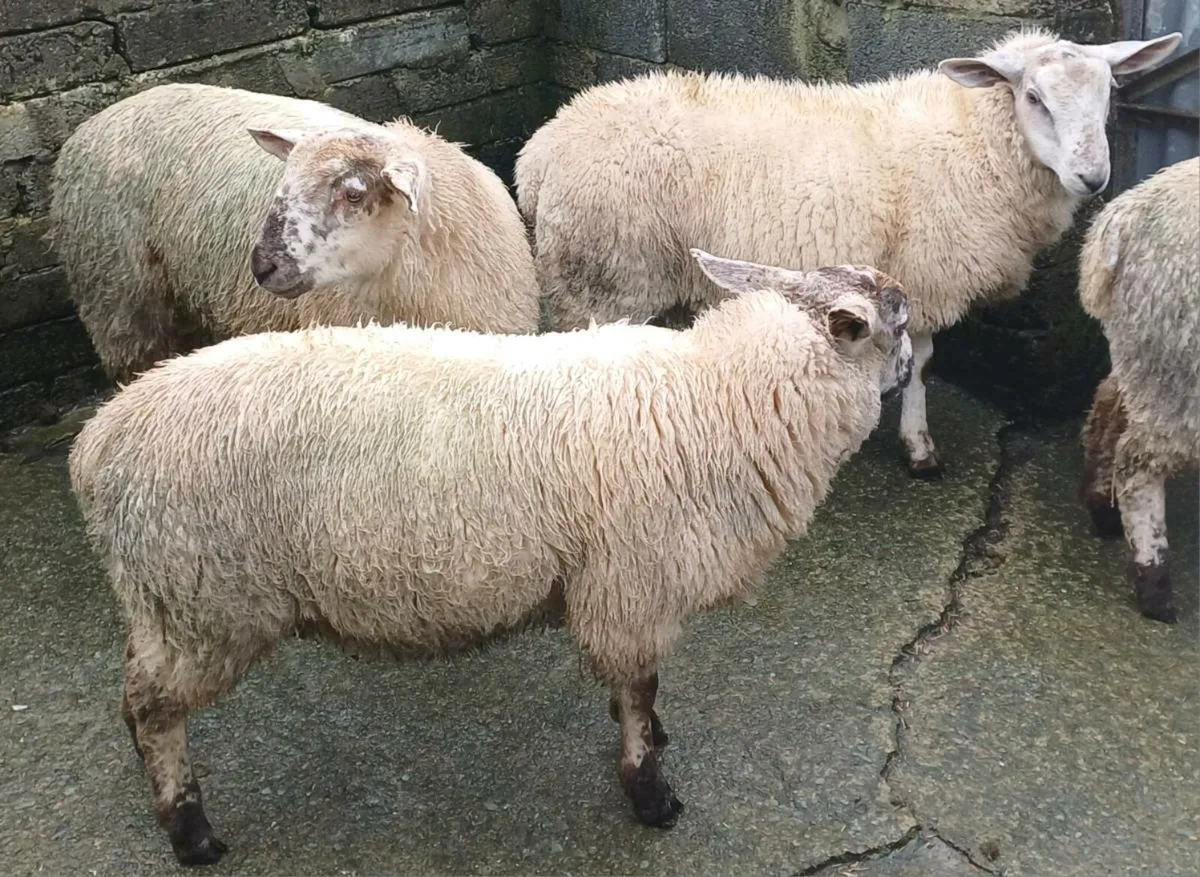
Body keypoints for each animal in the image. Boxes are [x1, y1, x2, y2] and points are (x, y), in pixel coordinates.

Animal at [69, 248, 913, 866]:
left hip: (165, 598)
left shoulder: (617, 591)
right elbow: (639, 689)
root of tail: (96, 445)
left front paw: (650, 738)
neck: (718, 394)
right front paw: (651, 792)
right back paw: (190, 831)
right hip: (204, 597)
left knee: (135, 685)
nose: (912, 368)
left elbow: (637, 690)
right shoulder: (629, 588)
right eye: (892, 323)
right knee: (156, 707)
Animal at [514, 28, 1182, 479]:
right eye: (1035, 97)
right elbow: (925, 362)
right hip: (602, 270)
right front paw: (919, 447)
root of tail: (539, 152)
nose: (1093, 178)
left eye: (1110, 93)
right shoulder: (926, 273)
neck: (976, 142)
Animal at [1078, 156, 1199, 624]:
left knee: (1109, 401)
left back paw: (1101, 508)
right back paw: (1155, 587)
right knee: (1137, 462)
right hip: (1176, 370)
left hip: (1147, 355)